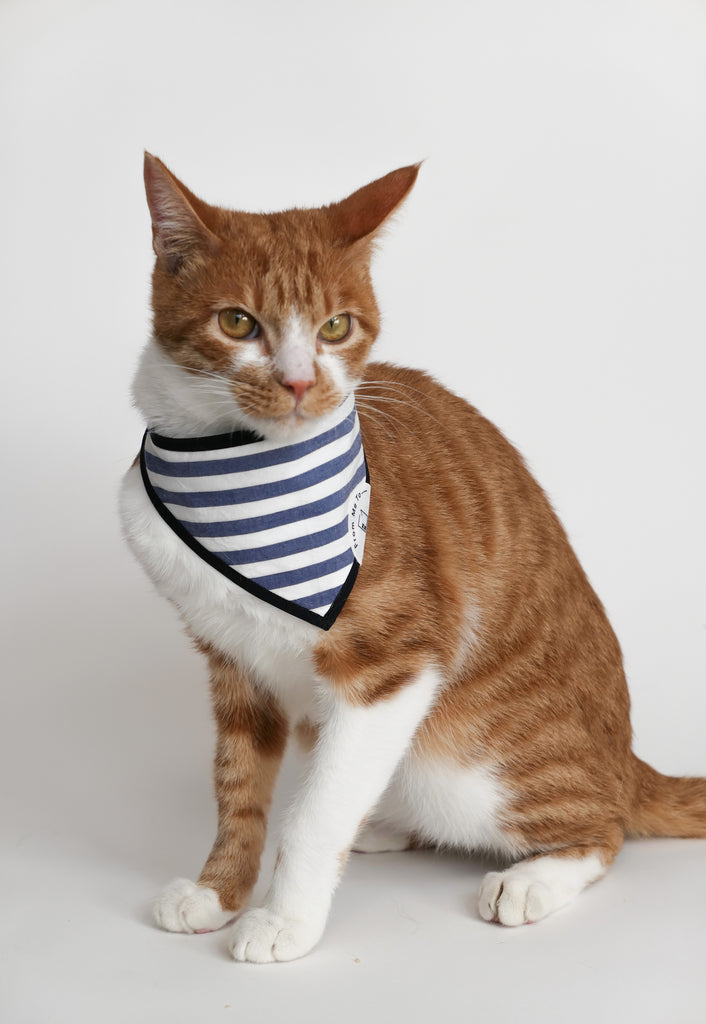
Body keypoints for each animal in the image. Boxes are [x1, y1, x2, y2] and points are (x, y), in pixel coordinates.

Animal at [119, 152, 706, 963]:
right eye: (237, 322)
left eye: (335, 327)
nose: (300, 382)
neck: (230, 461)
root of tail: (627, 760)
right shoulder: (232, 661)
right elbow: (238, 790)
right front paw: (220, 892)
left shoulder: (388, 669)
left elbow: (313, 815)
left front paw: (285, 920)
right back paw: (384, 826)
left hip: (466, 767)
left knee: (604, 824)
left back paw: (534, 877)